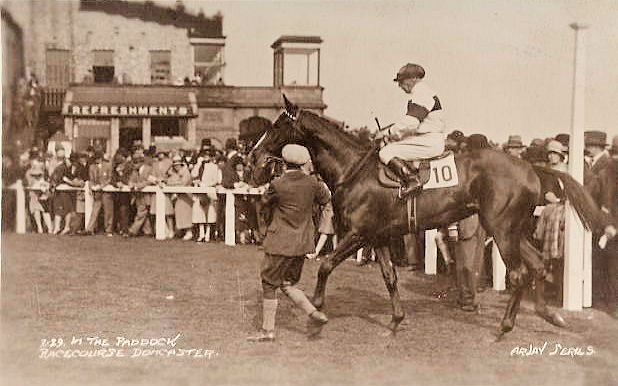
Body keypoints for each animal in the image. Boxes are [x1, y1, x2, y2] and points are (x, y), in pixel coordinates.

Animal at [247, 96, 612, 338]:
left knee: (521, 272)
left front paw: (316, 310)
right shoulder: (379, 236)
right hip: (513, 230)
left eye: (277, 125)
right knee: (538, 264)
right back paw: (549, 314)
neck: (354, 169)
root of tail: (531, 167)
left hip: (502, 229)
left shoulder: (358, 233)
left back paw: (505, 326)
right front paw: (396, 320)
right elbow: (390, 278)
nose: (253, 155)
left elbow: (324, 265)